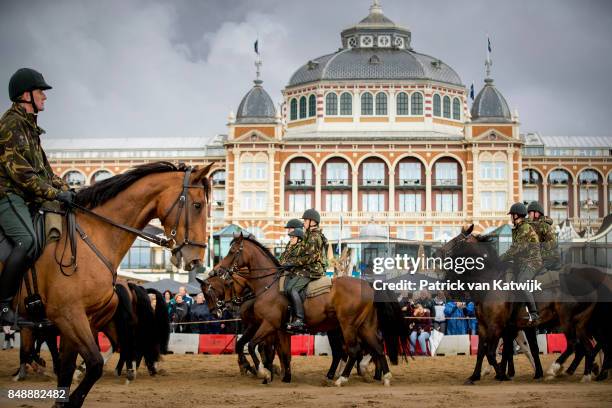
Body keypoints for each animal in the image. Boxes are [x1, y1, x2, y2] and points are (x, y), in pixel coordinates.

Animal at [4, 161, 212, 406]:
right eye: (197, 205)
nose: (196, 259)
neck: (91, 237)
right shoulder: (67, 316)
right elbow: (78, 365)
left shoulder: (72, 319)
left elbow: (74, 366)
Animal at [213, 233, 408, 386]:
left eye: (232, 251)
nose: (217, 270)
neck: (269, 285)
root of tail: (368, 285)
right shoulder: (276, 329)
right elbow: (278, 352)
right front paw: (281, 376)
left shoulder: (269, 325)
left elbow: (254, 346)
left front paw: (264, 372)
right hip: (364, 326)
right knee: (376, 348)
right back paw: (384, 377)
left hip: (348, 326)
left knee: (353, 350)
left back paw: (342, 378)